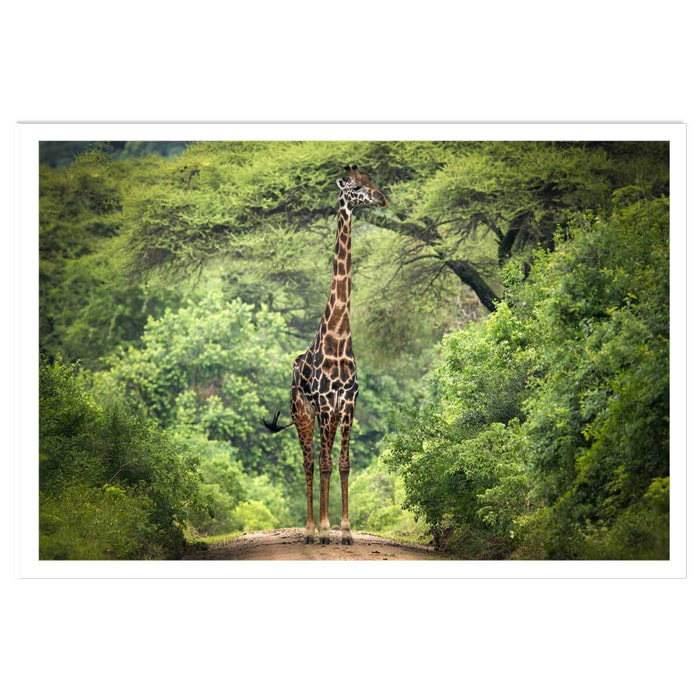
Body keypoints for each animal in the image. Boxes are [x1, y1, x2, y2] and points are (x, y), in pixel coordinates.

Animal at [262, 165, 388, 545]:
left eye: (371, 180)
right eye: (356, 187)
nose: (382, 198)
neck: (339, 337)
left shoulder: (347, 402)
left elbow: (343, 463)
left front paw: (344, 530)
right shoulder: (321, 403)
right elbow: (324, 463)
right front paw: (324, 529)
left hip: (326, 415)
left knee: (324, 459)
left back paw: (323, 527)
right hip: (303, 413)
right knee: (309, 461)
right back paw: (310, 530)